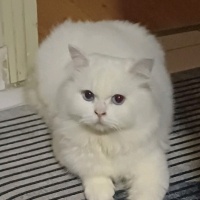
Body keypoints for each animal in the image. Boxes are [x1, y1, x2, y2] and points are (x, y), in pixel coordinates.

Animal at [25, 20, 173, 200]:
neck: (107, 141)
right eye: (88, 95)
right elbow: (95, 176)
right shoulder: (72, 154)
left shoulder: (151, 164)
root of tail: (94, 24)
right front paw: (104, 191)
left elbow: (144, 194)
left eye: (118, 99)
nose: (99, 113)